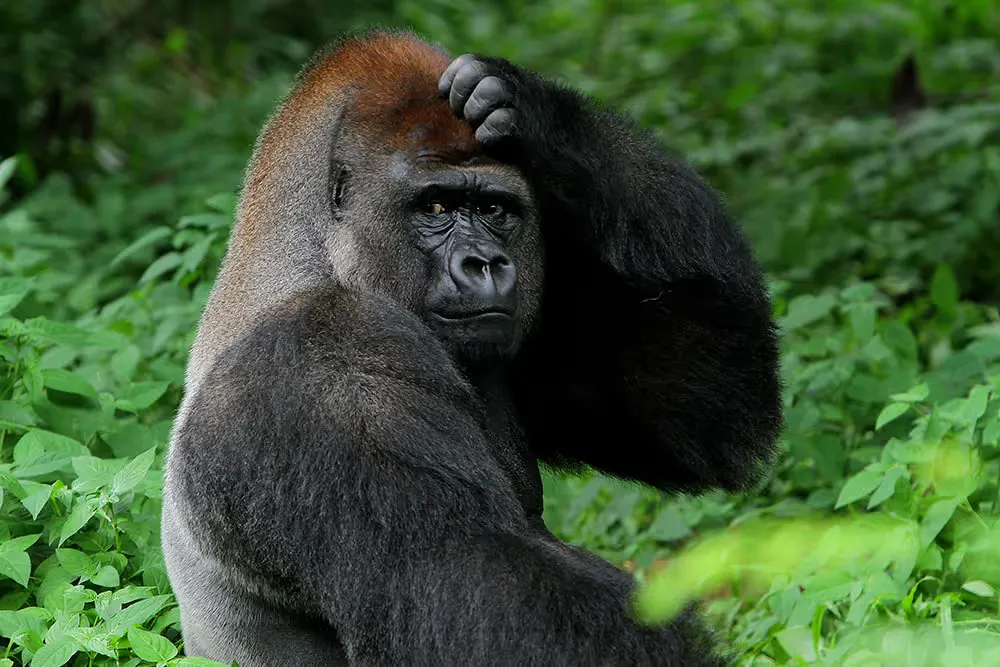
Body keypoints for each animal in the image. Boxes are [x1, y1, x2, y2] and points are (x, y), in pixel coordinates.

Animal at [161, 29, 781, 667]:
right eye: (435, 207)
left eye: (493, 209)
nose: (484, 263)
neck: (316, 259)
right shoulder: (323, 364)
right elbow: (478, 590)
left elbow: (698, 417)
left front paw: (534, 112)